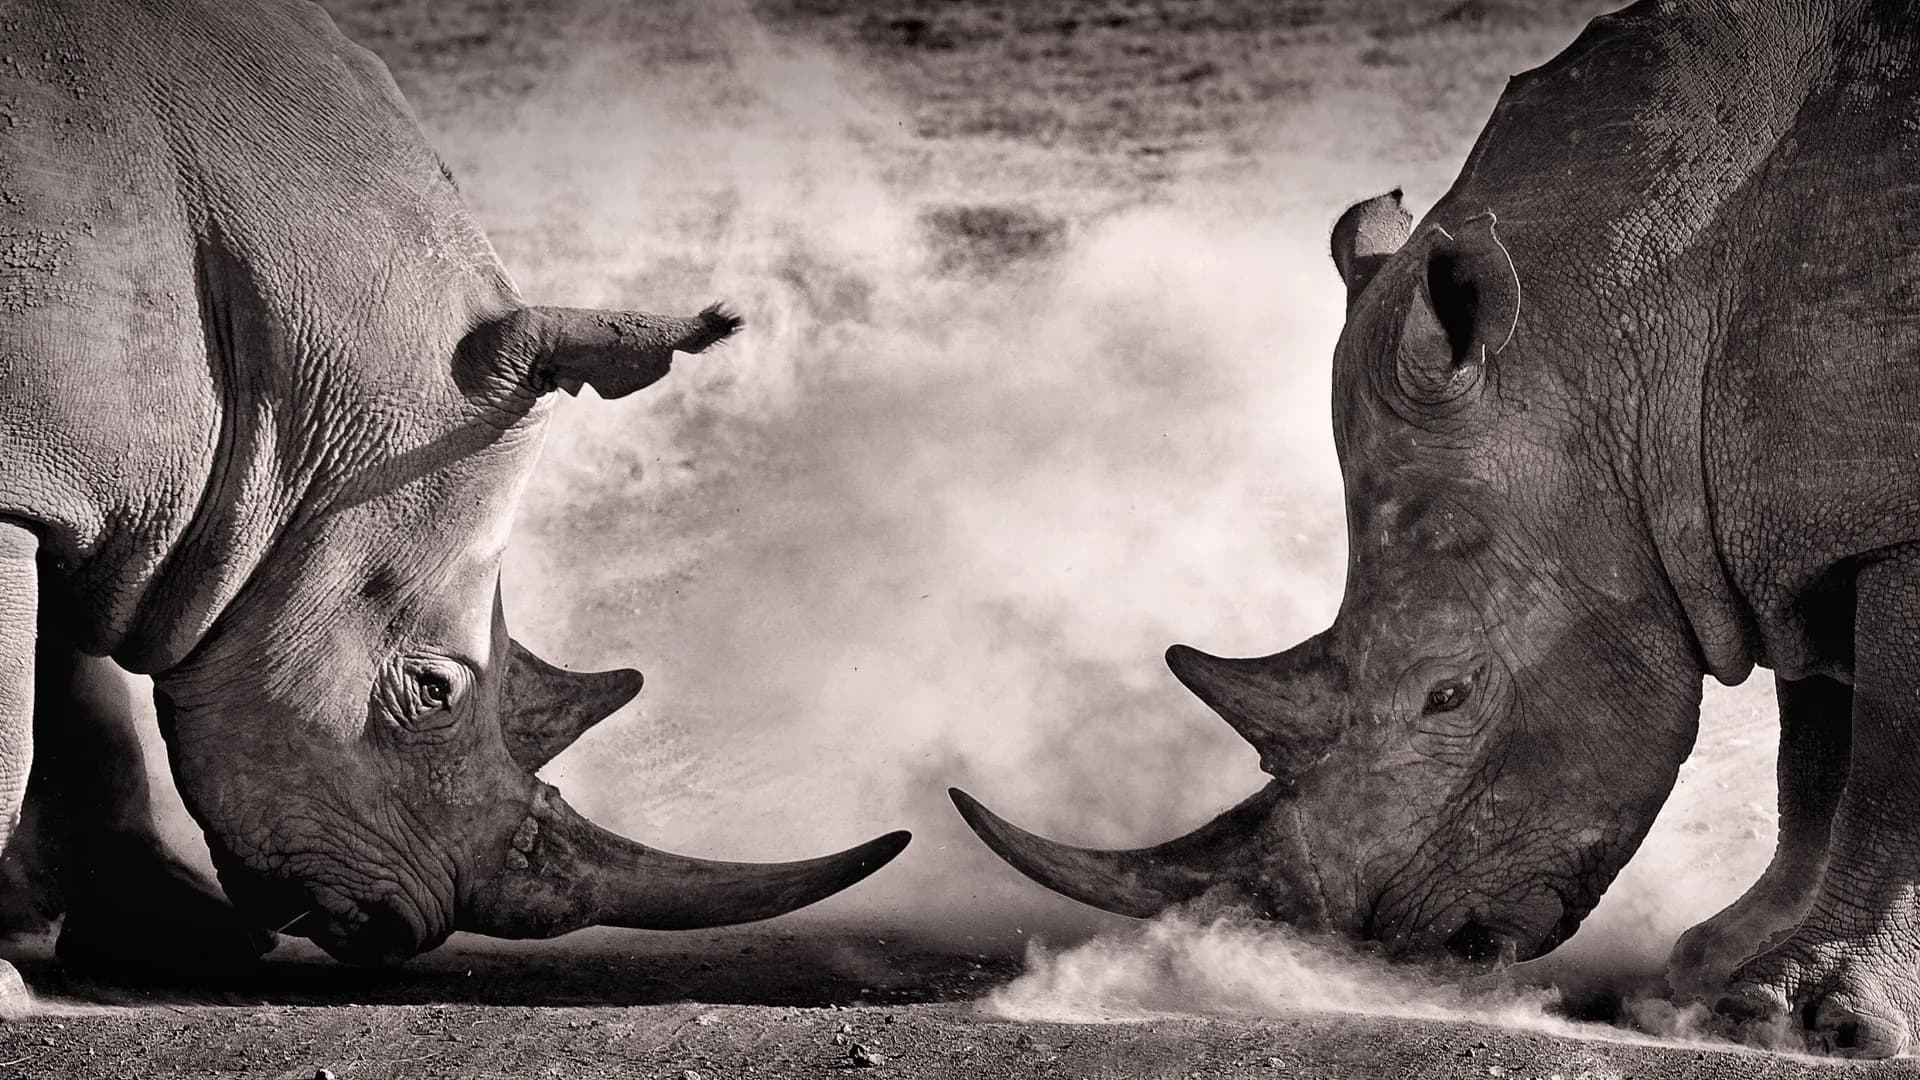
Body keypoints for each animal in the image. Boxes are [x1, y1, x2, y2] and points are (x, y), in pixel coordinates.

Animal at [0, 0, 908, 981]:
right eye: (433, 691)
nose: (408, 931)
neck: (281, 394)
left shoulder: (84, 484)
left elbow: (78, 701)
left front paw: (183, 937)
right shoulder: (37, 474)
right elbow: (23, 706)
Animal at [954, 0, 1920, 1057]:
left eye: (1447, 697)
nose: (1385, 950)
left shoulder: (1876, 520)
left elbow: (1887, 764)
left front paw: (1796, 1017)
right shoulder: (1788, 517)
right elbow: (1816, 750)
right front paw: (1715, 967)